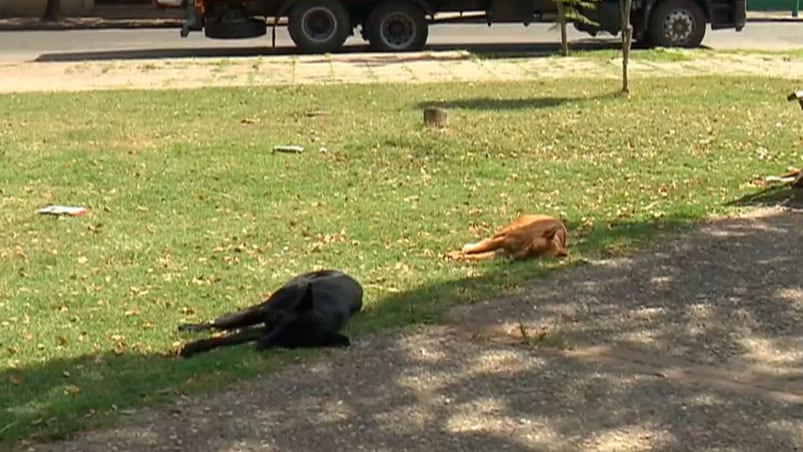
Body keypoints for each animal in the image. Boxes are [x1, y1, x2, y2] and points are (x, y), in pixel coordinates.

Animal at [178, 270, 364, 358]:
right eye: (284, 327)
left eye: (290, 342)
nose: (260, 344)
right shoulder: (265, 314)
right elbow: (224, 326)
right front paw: (191, 337)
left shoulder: (264, 329)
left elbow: (228, 339)